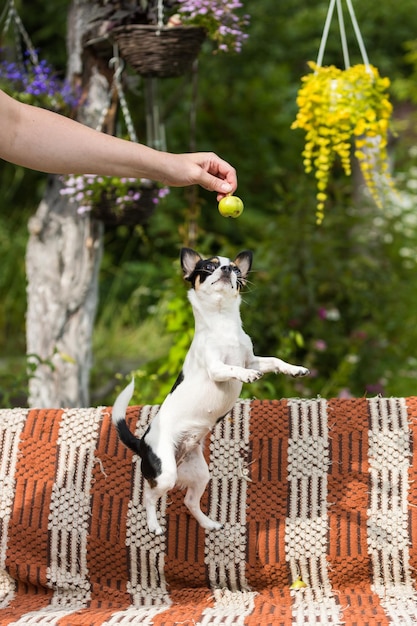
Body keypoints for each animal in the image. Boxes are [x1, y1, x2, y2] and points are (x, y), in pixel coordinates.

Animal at [112, 247, 308, 532]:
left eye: (235, 269)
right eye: (207, 267)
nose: (227, 269)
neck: (222, 323)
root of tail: (141, 443)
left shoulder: (252, 358)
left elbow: (274, 361)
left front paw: (294, 369)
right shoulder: (216, 367)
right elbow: (233, 368)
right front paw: (247, 376)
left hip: (199, 474)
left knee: (189, 501)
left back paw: (208, 523)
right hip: (165, 473)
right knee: (148, 495)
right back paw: (154, 524)